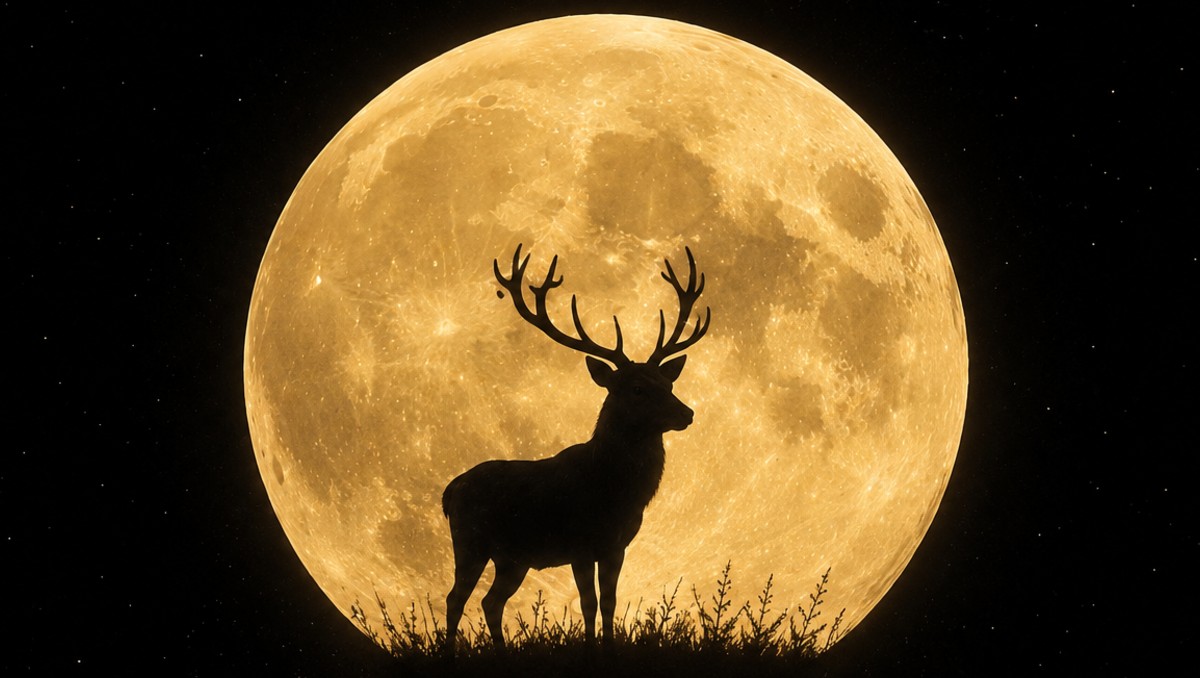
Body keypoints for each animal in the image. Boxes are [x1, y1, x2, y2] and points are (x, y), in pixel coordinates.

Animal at [441, 244, 710, 654]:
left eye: (668, 382)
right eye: (636, 388)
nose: (687, 413)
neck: (614, 493)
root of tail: (450, 489)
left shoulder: (617, 546)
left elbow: (610, 601)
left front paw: (609, 648)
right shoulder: (580, 543)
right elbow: (588, 602)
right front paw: (590, 649)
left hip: (513, 558)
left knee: (491, 601)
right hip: (470, 539)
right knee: (456, 597)